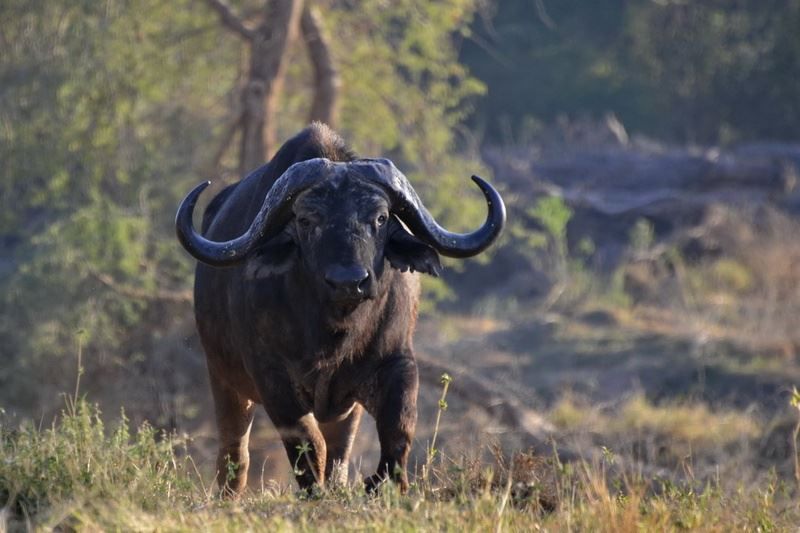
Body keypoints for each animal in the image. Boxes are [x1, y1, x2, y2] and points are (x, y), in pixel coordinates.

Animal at [173, 121, 506, 494]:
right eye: (307, 220)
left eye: (380, 218)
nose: (349, 281)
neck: (334, 333)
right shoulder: (271, 377)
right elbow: (305, 440)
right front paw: (315, 490)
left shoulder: (397, 362)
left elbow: (398, 426)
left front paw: (386, 483)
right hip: (224, 381)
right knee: (235, 450)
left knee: (340, 450)